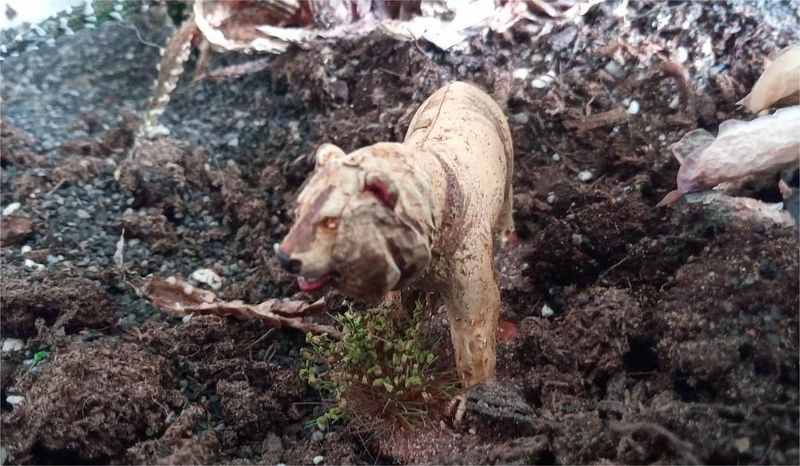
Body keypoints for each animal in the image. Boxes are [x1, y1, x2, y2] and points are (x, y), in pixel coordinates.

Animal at [275, 81, 514, 387]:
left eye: (331, 221)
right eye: (297, 210)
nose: (284, 257)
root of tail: (460, 83)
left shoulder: (472, 289)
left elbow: (475, 346)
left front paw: (478, 393)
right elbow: (394, 313)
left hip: (506, 155)